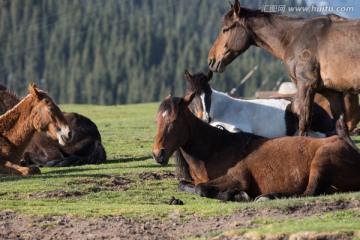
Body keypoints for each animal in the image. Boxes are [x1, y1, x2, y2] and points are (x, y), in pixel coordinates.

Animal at [152, 93, 360, 202]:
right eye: (157, 120)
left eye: (175, 120)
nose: (157, 153)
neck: (215, 150)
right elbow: (184, 185)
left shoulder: (238, 178)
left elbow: (202, 188)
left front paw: (236, 195)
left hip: (321, 160)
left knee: (309, 192)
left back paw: (269, 196)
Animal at [207, 0, 360, 140]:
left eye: (225, 29)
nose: (211, 60)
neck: (294, 38)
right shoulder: (332, 92)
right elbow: (342, 130)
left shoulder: (306, 85)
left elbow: (304, 124)